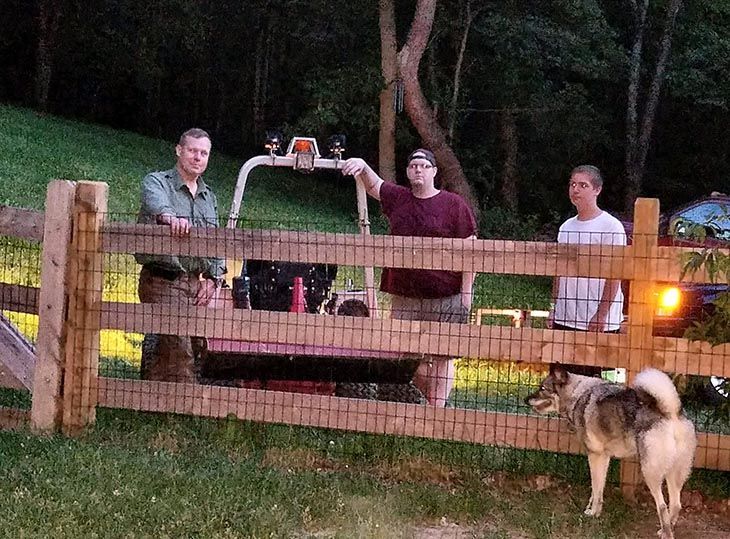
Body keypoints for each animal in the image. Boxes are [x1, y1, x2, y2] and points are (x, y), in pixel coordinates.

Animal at [524, 362, 692, 539]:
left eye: (543, 388)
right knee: (676, 504)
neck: (578, 393)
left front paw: (592, 513)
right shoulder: (604, 457)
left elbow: (595, 487)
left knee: (662, 506)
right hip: (675, 474)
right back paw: (667, 528)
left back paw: (666, 533)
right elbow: (598, 489)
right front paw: (594, 511)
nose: (525, 400)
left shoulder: (594, 456)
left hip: (650, 472)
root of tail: (670, 412)